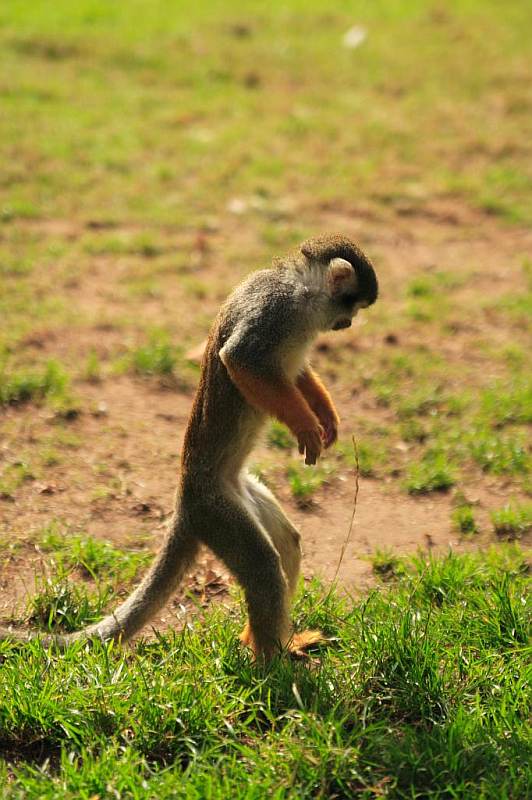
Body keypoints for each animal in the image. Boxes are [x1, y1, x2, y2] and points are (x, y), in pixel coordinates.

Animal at [0, 234, 376, 660]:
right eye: (352, 307)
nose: (348, 323)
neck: (302, 293)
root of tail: (184, 499)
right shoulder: (273, 309)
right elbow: (241, 360)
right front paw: (305, 425)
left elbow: (293, 372)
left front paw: (325, 416)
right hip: (213, 510)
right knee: (264, 566)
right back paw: (271, 663)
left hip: (241, 495)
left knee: (287, 545)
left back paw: (264, 640)